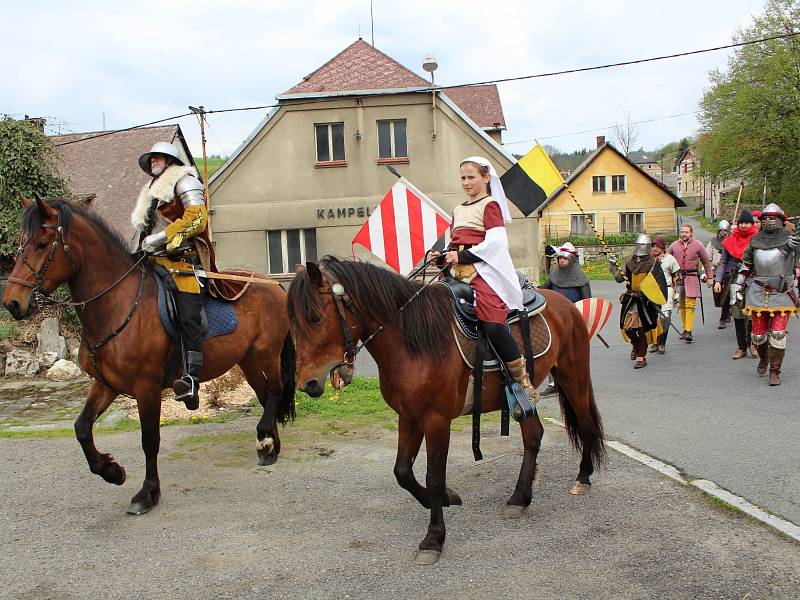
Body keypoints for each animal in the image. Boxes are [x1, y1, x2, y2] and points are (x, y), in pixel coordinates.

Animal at [3, 198, 296, 516]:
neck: (118, 304)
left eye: (42, 243)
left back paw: (265, 439)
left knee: (276, 390)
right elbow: (81, 428)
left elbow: (149, 440)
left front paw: (147, 493)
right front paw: (111, 471)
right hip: (248, 360)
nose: (12, 302)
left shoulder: (147, 388)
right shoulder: (106, 384)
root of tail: (274, 285)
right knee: (265, 396)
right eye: (20, 243)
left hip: (266, 353)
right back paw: (270, 445)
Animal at [290, 256, 604, 564]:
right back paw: (519, 498)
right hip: (523, 401)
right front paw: (444, 498)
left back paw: (582, 478)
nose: (308, 383)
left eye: (316, 318)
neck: (412, 342)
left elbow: (434, 478)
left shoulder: (436, 421)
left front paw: (433, 539)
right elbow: (402, 471)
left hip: (572, 377)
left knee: (586, 424)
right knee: (534, 436)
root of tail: (566, 305)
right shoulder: (408, 417)